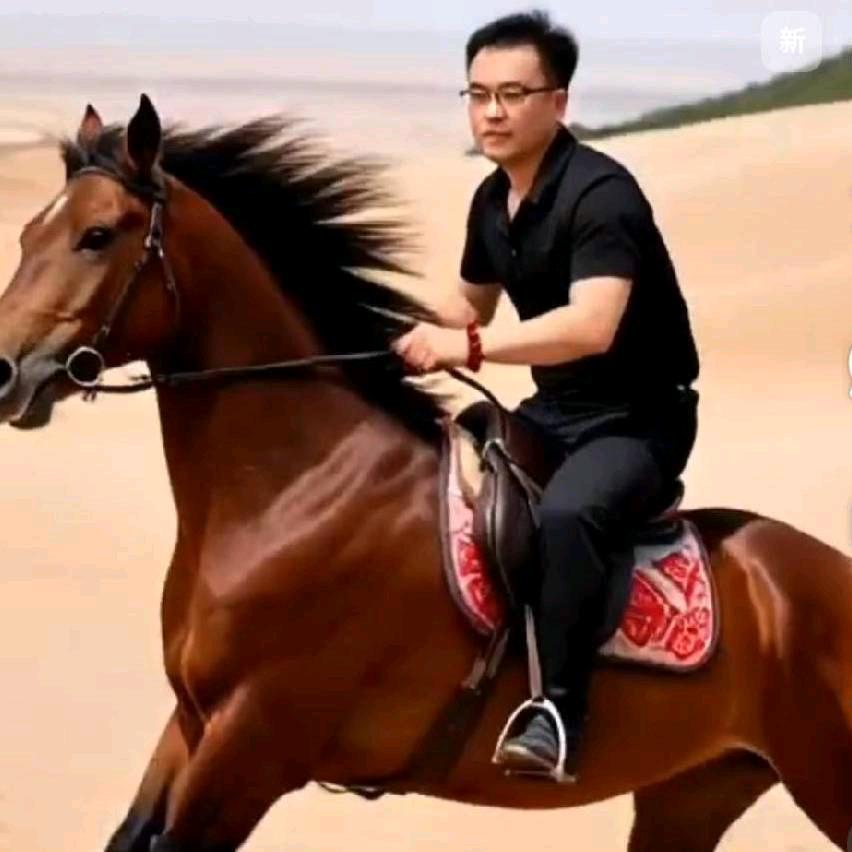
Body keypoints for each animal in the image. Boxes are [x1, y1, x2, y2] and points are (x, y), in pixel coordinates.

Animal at [0, 94, 850, 851]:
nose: (5, 371)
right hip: (695, 791)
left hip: (818, 776)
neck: (296, 492)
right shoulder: (191, 724)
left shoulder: (256, 742)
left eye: (96, 236)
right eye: (28, 234)